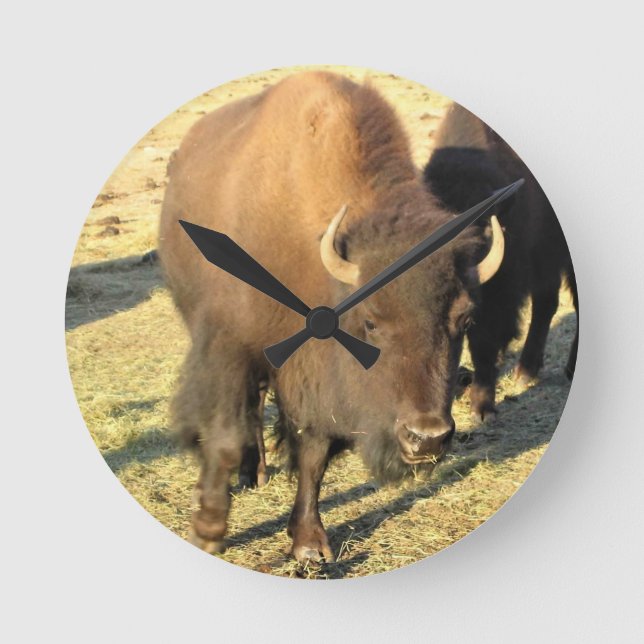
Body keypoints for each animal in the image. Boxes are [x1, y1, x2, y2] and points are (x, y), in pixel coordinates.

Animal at [159, 72, 506, 562]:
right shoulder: (230, 347)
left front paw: (309, 544)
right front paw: (207, 530)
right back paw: (247, 475)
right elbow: (224, 436)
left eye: (465, 320)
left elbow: (314, 453)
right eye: (371, 321)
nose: (427, 438)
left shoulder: (310, 378)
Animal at [423, 104, 578, 420]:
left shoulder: (498, 294)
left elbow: (483, 342)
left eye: (482, 228)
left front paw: (482, 409)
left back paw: (566, 369)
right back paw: (526, 371)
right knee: (546, 304)